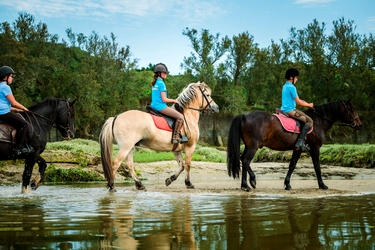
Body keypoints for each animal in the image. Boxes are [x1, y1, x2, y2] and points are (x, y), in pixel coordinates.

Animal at [228, 99, 362, 191]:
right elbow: (317, 167)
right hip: (253, 146)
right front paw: (322, 185)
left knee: (242, 159)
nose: (359, 124)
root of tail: (244, 115)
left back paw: (251, 181)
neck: (318, 122)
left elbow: (292, 166)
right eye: (351, 109)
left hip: (249, 146)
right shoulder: (315, 149)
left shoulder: (297, 150)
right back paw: (246, 185)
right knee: (246, 161)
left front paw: (287, 184)